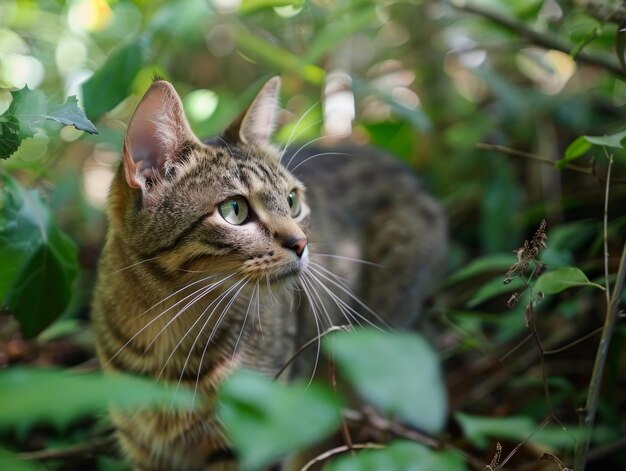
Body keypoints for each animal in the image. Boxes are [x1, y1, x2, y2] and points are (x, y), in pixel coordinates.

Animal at [90, 78, 446, 471]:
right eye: (234, 210)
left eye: (292, 201)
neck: (166, 328)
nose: (302, 242)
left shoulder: (253, 438)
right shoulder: (143, 447)